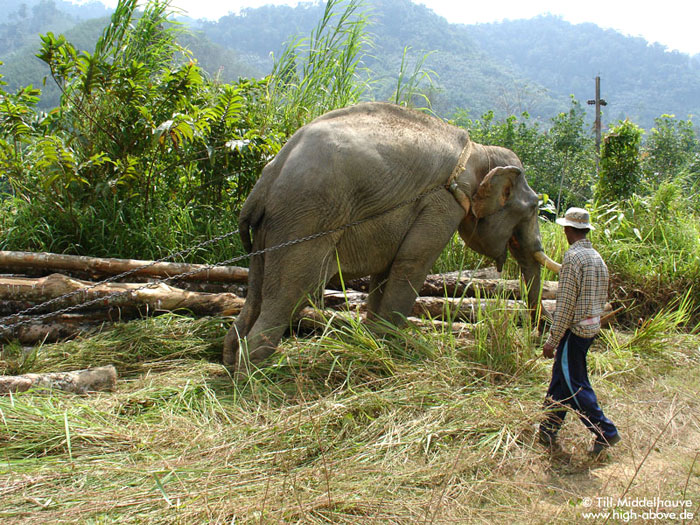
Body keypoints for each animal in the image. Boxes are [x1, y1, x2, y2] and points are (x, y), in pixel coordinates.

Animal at [227, 102, 560, 372]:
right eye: (534, 207)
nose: (538, 342)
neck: (478, 152)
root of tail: (270, 175)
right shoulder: (441, 203)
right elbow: (412, 264)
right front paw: (392, 351)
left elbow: (386, 271)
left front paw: (374, 344)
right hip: (306, 221)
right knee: (294, 292)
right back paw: (254, 377)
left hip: (272, 228)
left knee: (256, 294)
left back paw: (232, 363)